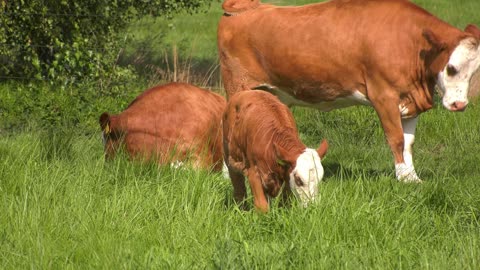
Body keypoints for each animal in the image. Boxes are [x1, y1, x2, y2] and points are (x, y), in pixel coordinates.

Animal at [218, 0, 480, 182]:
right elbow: (395, 139)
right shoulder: (383, 95)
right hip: (236, 87)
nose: (459, 105)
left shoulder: (411, 100)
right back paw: (227, 174)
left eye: (474, 71)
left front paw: (411, 178)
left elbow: (408, 142)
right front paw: (401, 177)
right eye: (451, 68)